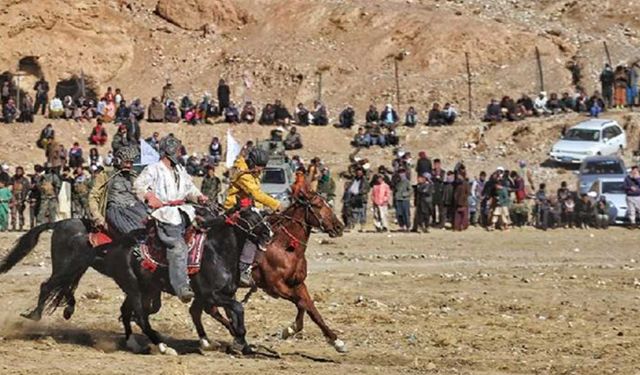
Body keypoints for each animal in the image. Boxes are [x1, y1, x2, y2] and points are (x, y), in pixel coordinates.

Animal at [0, 209, 272, 356]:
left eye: (262, 214)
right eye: (248, 216)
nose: (268, 233)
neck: (216, 252)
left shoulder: (223, 294)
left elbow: (233, 311)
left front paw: (241, 342)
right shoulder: (209, 294)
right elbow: (235, 309)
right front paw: (238, 339)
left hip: (115, 280)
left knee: (121, 307)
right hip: (105, 276)